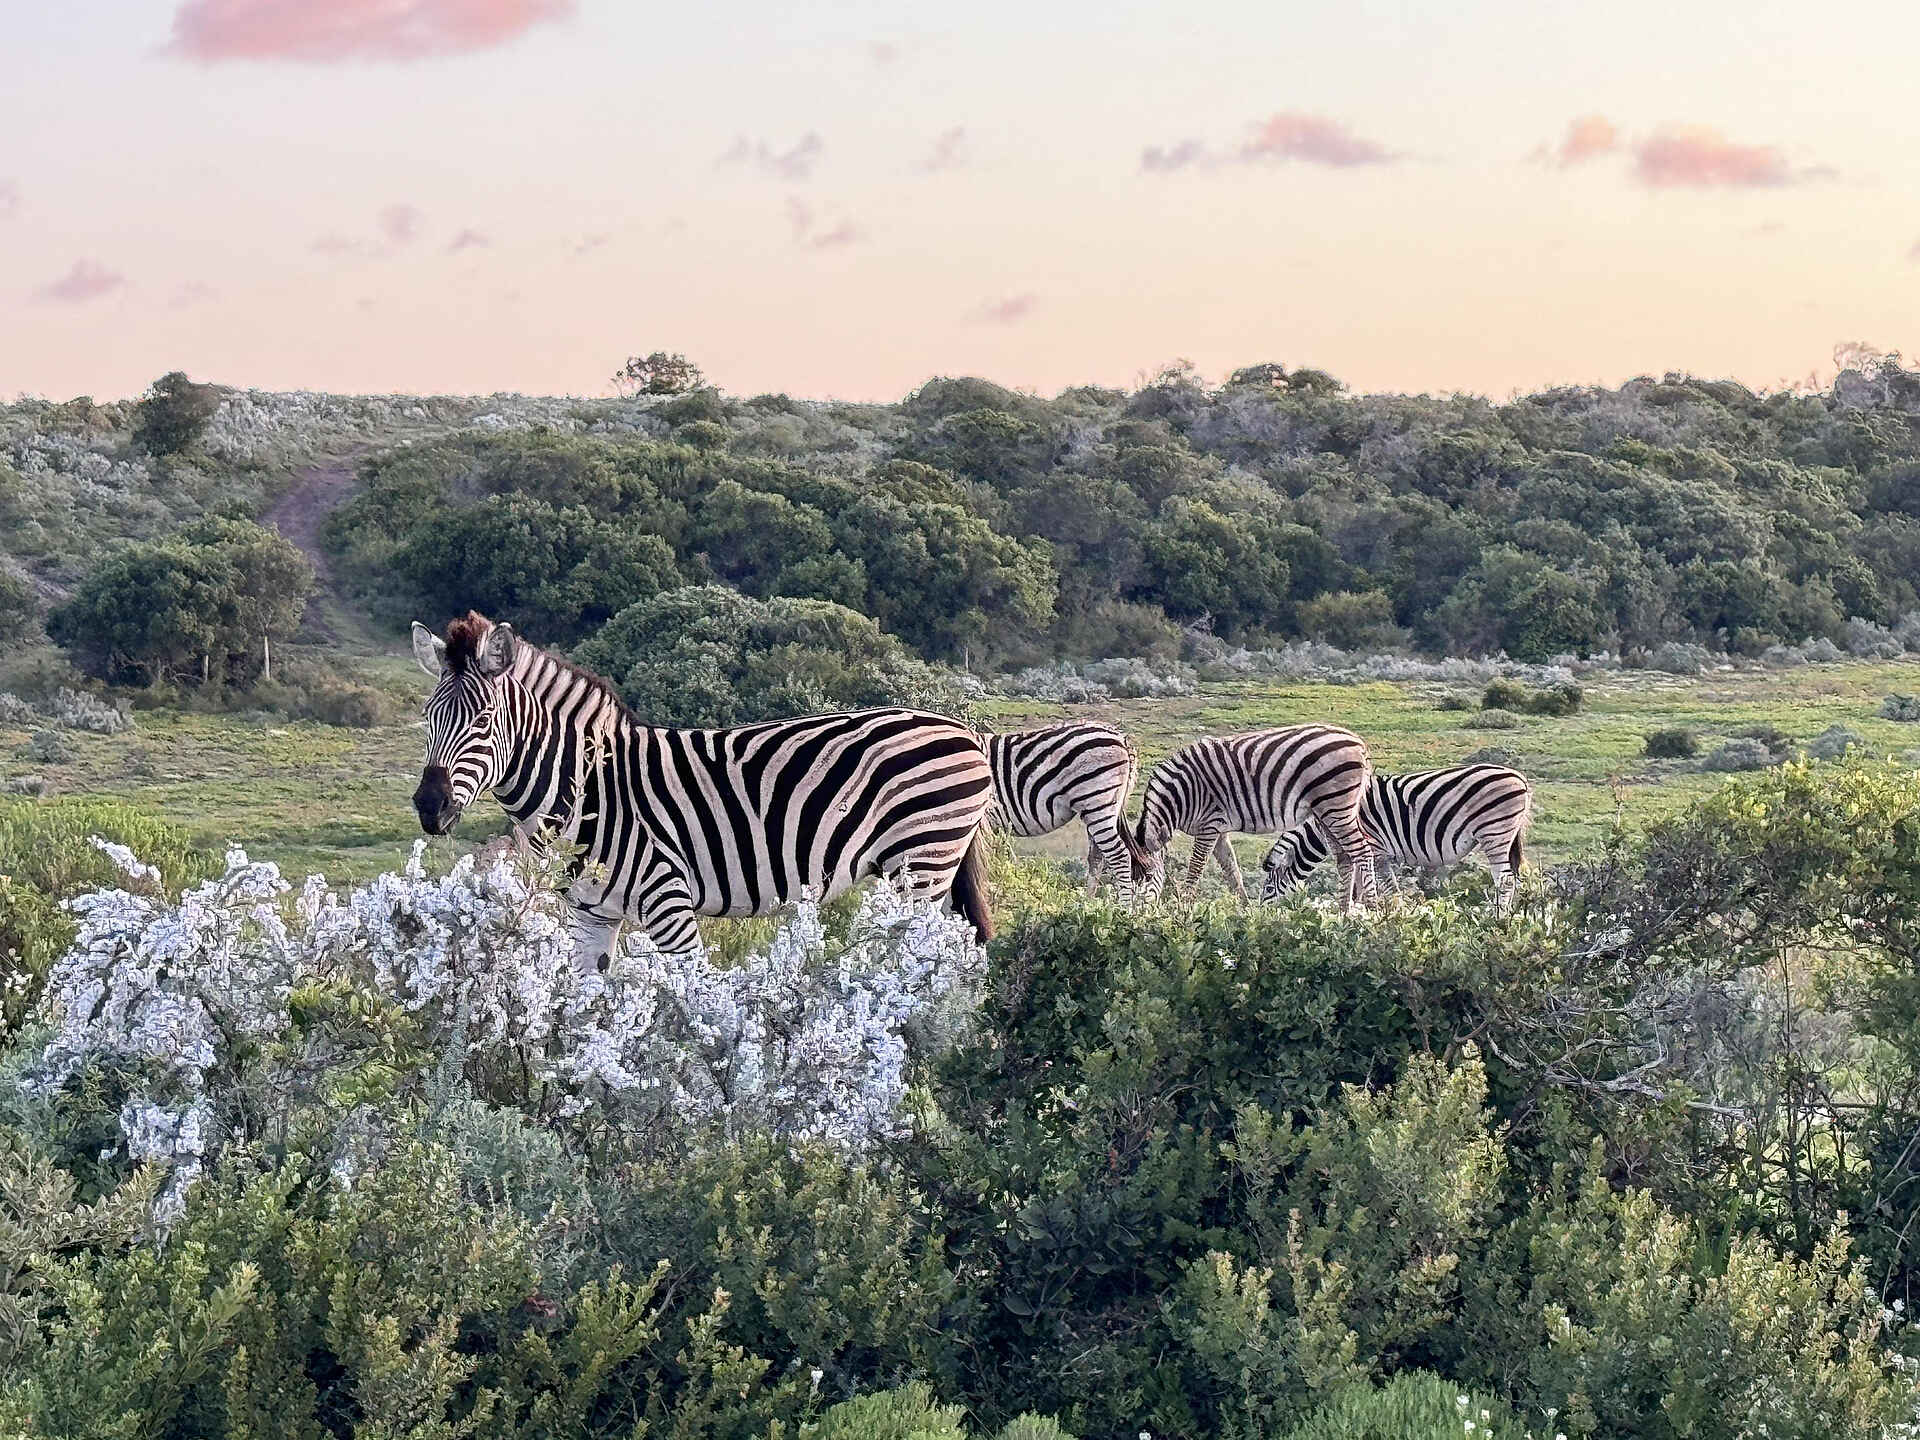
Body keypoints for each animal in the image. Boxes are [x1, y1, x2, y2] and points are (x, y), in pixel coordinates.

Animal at [409, 611, 995, 970]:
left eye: (484, 720)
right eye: (426, 718)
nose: (429, 809)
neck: (588, 791)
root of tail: (964, 729)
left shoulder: (668, 901)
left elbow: (690, 1003)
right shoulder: (589, 912)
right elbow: (585, 1005)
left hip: (921, 865)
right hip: (933, 866)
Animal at [983, 721, 1143, 900]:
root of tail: (1121, 738)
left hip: (1098, 802)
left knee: (1119, 855)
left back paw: (1123, 906)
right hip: (1099, 809)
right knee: (1097, 856)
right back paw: (1087, 903)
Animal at [1130, 725, 1378, 907]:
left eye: (1145, 879)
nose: (1135, 914)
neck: (1180, 796)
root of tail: (1360, 744)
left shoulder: (1209, 824)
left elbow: (1196, 868)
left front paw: (1183, 908)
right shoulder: (1219, 830)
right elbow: (1233, 872)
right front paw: (1245, 910)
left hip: (1336, 807)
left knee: (1362, 852)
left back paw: (1373, 908)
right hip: (1326, 813)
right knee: (1345, 858)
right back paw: (1343, 912)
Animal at [1260, 763, 1533, 910]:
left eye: (1269, 888)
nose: (1262, 914)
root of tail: (1521, 779)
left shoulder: (1375, 849)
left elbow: (1382, 887)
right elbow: (1363, 887)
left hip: (1494, 832)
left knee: (1505, 881)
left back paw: (1496, 918)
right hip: (1504, 835)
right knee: (1512, 877)